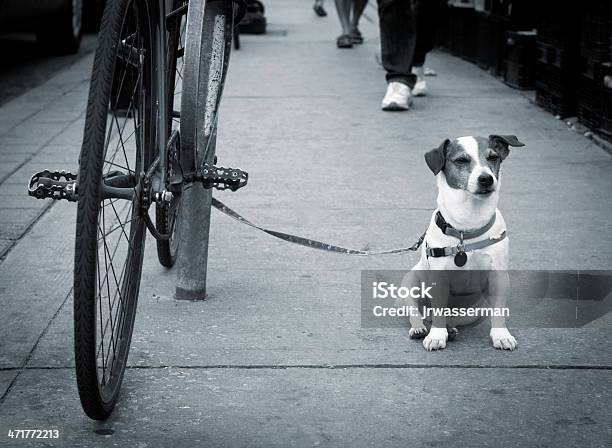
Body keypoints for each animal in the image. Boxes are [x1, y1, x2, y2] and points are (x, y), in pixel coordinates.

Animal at [402, 133, 524, 350]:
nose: (486, 179)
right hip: (410, 282)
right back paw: (420, 328)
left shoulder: (499, 277)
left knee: (449, 317)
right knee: (418, 312)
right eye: (461, 160)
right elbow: (438, 309)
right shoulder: (439, 278)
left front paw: (501, 335)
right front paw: (436, 336)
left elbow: (499, 312)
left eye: (493, 157)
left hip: (474, 311)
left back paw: (450, 328)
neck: (467, 228)